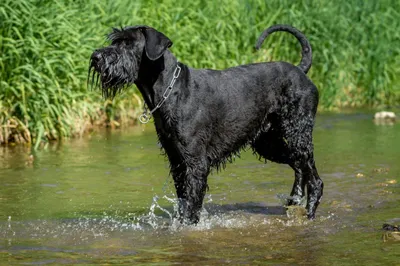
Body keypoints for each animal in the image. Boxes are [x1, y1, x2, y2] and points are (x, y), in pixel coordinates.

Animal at [89, 24, 324, 224]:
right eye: (115, 40)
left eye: (128, 43)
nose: (96, 56)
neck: (170, 90)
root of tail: (301, 70)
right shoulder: (177, 161)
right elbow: (183, 200)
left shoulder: (196, 163)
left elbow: (192, 205)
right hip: (267, 143)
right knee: (298, 166)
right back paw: (293, 203)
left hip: (298, 134)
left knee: (314, 179)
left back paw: (309, 212)